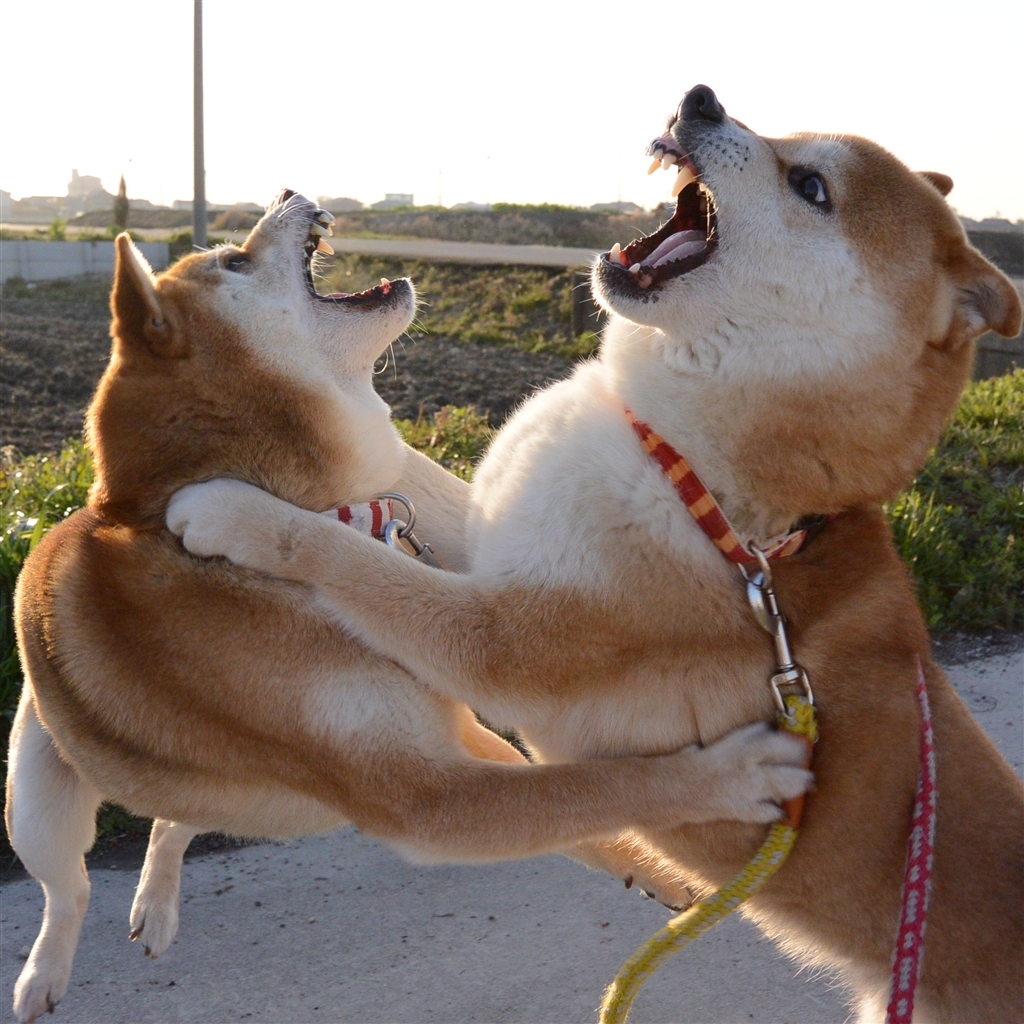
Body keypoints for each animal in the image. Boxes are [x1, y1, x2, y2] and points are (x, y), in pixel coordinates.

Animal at [5, 190, 812, 1023]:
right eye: (232, 260)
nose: (289, 192)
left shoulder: (450, 725)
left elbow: (593, 814)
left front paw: (668, 878)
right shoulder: (423, 797)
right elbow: (608, 787)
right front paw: (733, 778)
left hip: (222, 783)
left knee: (174, 820)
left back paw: (157, 902)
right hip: (36, 803)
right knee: (69, 889)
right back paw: (44, 974)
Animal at [169, 89, 1024, 1022]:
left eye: (811, 185)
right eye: (784, 134)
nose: (699, 99)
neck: (711, 493)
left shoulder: (501, 639)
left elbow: (347, 557)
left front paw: (231, 507)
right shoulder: (495, 533)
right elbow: (402, 474)